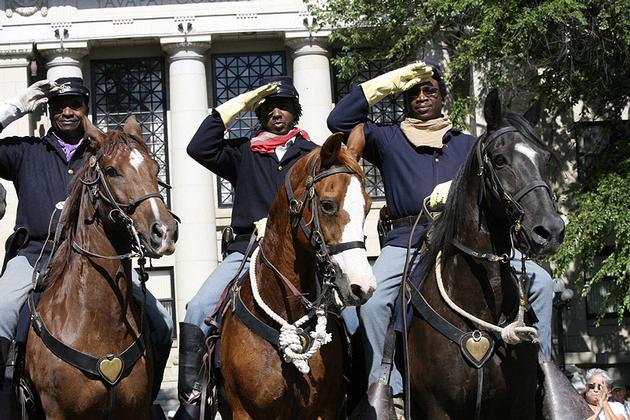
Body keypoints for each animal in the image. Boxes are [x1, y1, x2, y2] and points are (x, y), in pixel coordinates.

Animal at [23, 115, 179, 420]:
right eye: (111, 170)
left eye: (155, 168)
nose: (165, 231)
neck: (98, 325)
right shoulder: (58, 413)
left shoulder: (137, 409)